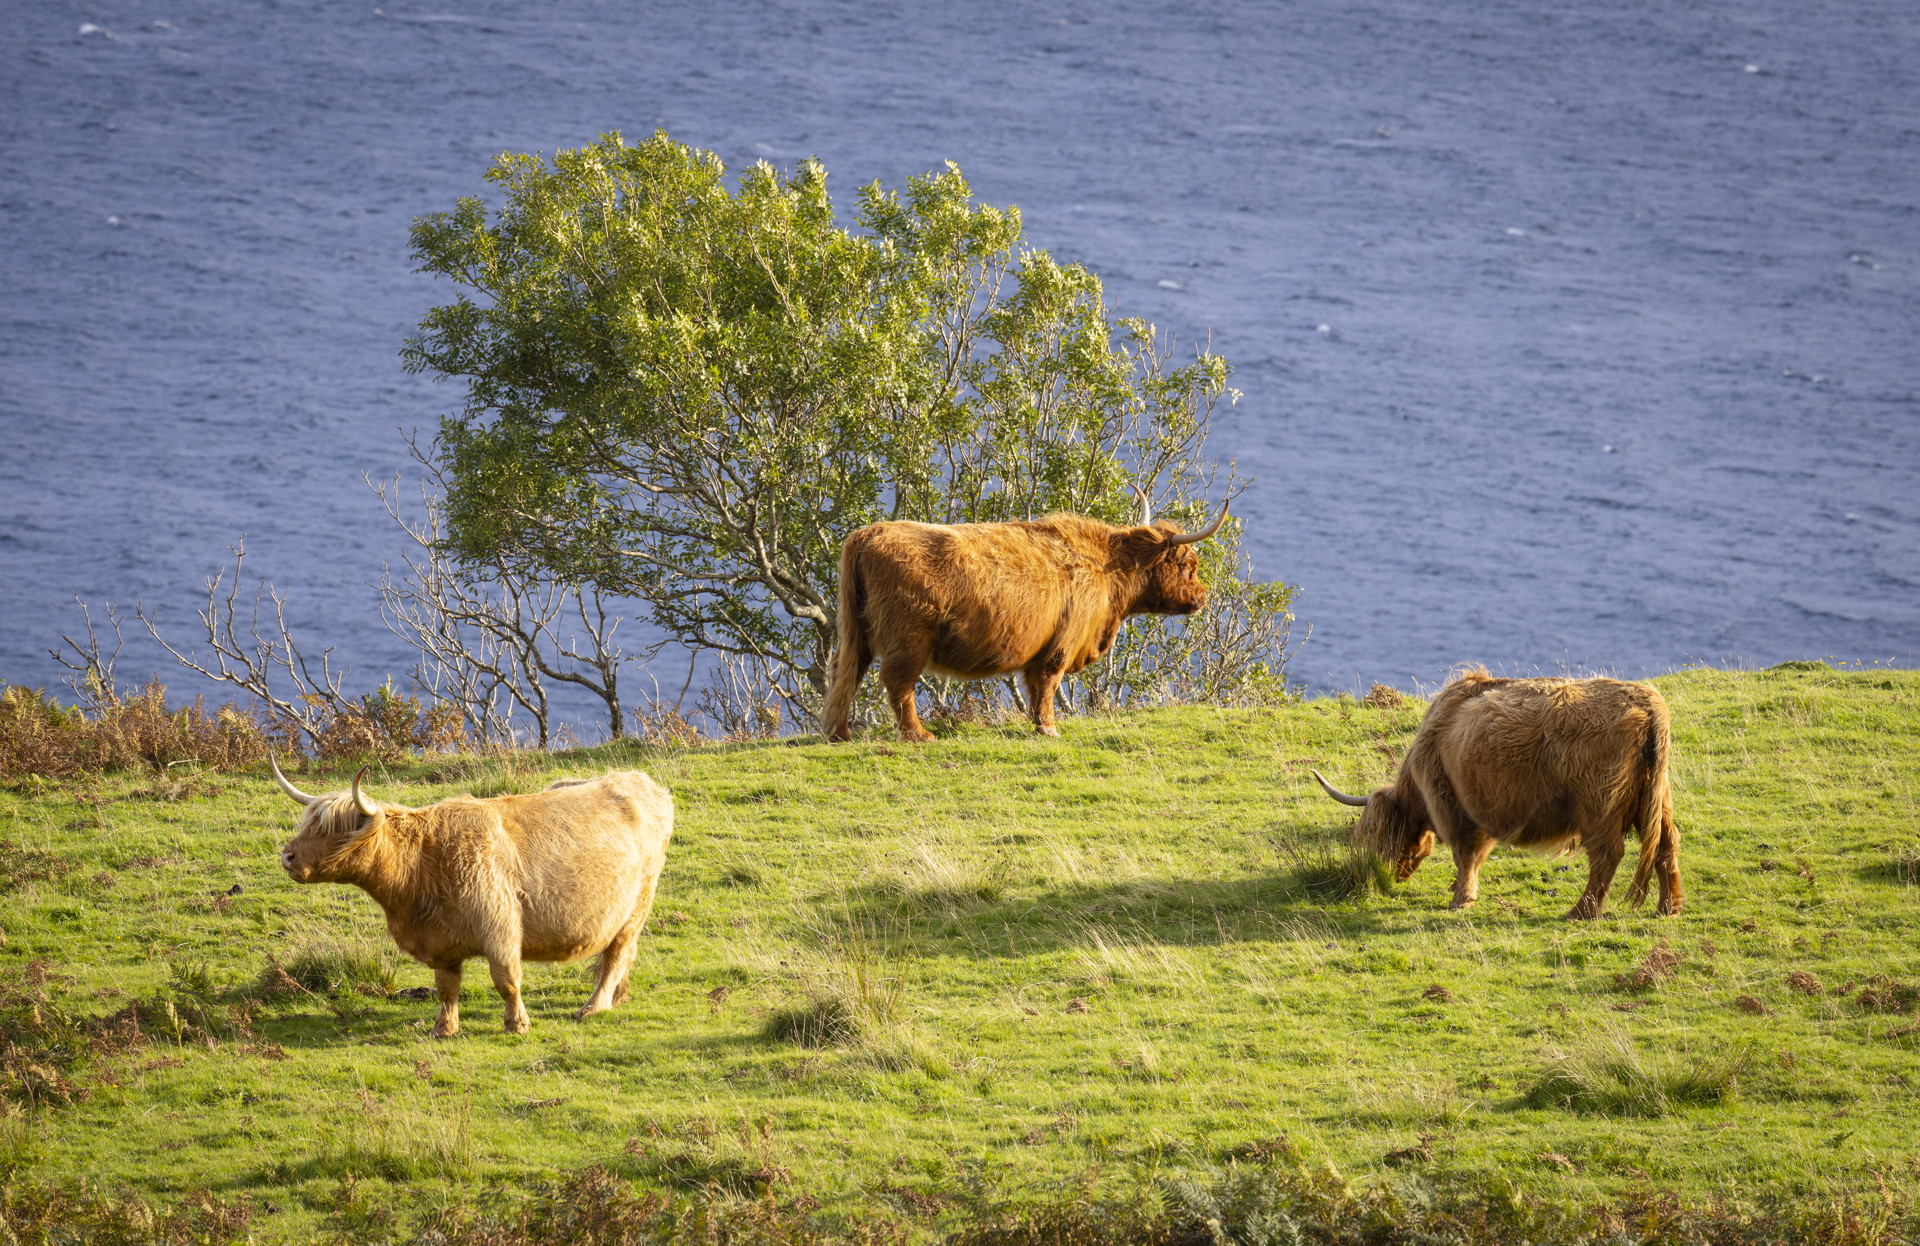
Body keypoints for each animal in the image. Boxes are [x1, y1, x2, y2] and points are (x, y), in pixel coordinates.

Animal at [271, 756, 672, 1036]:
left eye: (333, 828)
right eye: (308, 823)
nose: (287, 856)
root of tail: (640, 781)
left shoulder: (501, 928)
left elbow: (506, 980)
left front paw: (516, 1024)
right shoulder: (441, 942)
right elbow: (446, 988)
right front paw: (443, 1028)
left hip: (635, 907)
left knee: (617, 954)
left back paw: (595, 1006)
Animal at [821, 491, 1228, 743]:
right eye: (1188, 565)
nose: (1202, 597)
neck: (1108, 568)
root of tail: (868, 533)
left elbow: (1034, 686)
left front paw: (1038, 725)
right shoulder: (1062, 643)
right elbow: (1048, 682)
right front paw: (1049, 728)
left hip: (856, 631)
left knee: (845, 672)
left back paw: (839, 733)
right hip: (909, 639)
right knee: (897, 682)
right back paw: (919, 736)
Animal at [1309, 670, 1683, 919]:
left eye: (1376, 832)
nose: (1382, 876)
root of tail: (1646, 701)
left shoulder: (1452, 806)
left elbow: (1465, 854)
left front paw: (1460, 899)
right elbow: (1474, 856)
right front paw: (1459, 891)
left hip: (1598, 806)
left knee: (1607, 854)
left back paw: (1581, 911)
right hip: (1657, 798)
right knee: (1667, 842)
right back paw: (1669, 906)